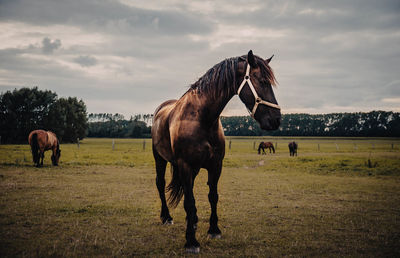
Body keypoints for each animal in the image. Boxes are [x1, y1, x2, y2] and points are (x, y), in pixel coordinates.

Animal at [151, 50, 282, 254]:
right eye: (262, 81)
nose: (277, 119)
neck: (202, 118)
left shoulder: (215, 166)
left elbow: (212, 197)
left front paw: (213, 230)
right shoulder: (185, 166)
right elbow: (189, 202)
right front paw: (191, 241)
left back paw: (192, 221)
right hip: (160, 159)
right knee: (161, 183)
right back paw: (166, 217)